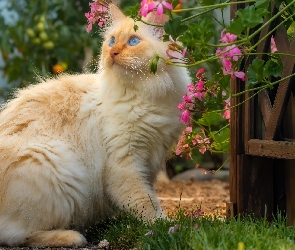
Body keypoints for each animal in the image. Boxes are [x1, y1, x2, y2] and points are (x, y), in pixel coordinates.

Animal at [0, 3, 192, 248]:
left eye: (133, 41)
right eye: (112, 41)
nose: (113, 53)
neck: (144, 94)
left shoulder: (151, 158)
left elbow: (145, 196)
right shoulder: (125, 163)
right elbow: (145, 202)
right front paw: (167, 227)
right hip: (54, 162)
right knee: (15, 234)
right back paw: (73, 236)